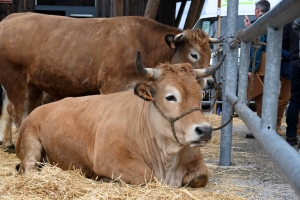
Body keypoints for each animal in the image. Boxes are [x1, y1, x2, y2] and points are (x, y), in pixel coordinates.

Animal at [0, 12, 221, 152]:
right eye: (194, 54)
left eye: (209, 52)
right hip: (15, 80)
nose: (210, 82)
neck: (142, 44)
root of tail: (11, 17)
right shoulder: (111, 85)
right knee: (17, 112)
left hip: (33, 85)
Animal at [15, 52, 224, 188]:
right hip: (31, 143)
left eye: (200, 96)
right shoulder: (111, 160)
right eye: (170, 97)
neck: (167, 158)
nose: (205, 130)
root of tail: (37, 111)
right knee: (28, 168)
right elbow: (147, 176)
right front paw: (106, 179)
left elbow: (200, 177)